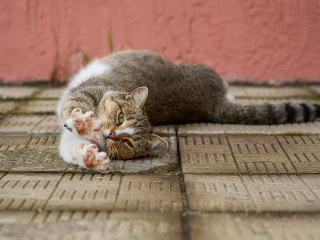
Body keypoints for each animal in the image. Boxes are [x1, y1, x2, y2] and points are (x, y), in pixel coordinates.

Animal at [57, 49, 320, 172]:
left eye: (128, 143)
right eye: (120, 117)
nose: (111, 134)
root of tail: (212, 104)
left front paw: (90, 153)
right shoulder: (87, 93)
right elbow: (75, 112)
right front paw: (85, 129)